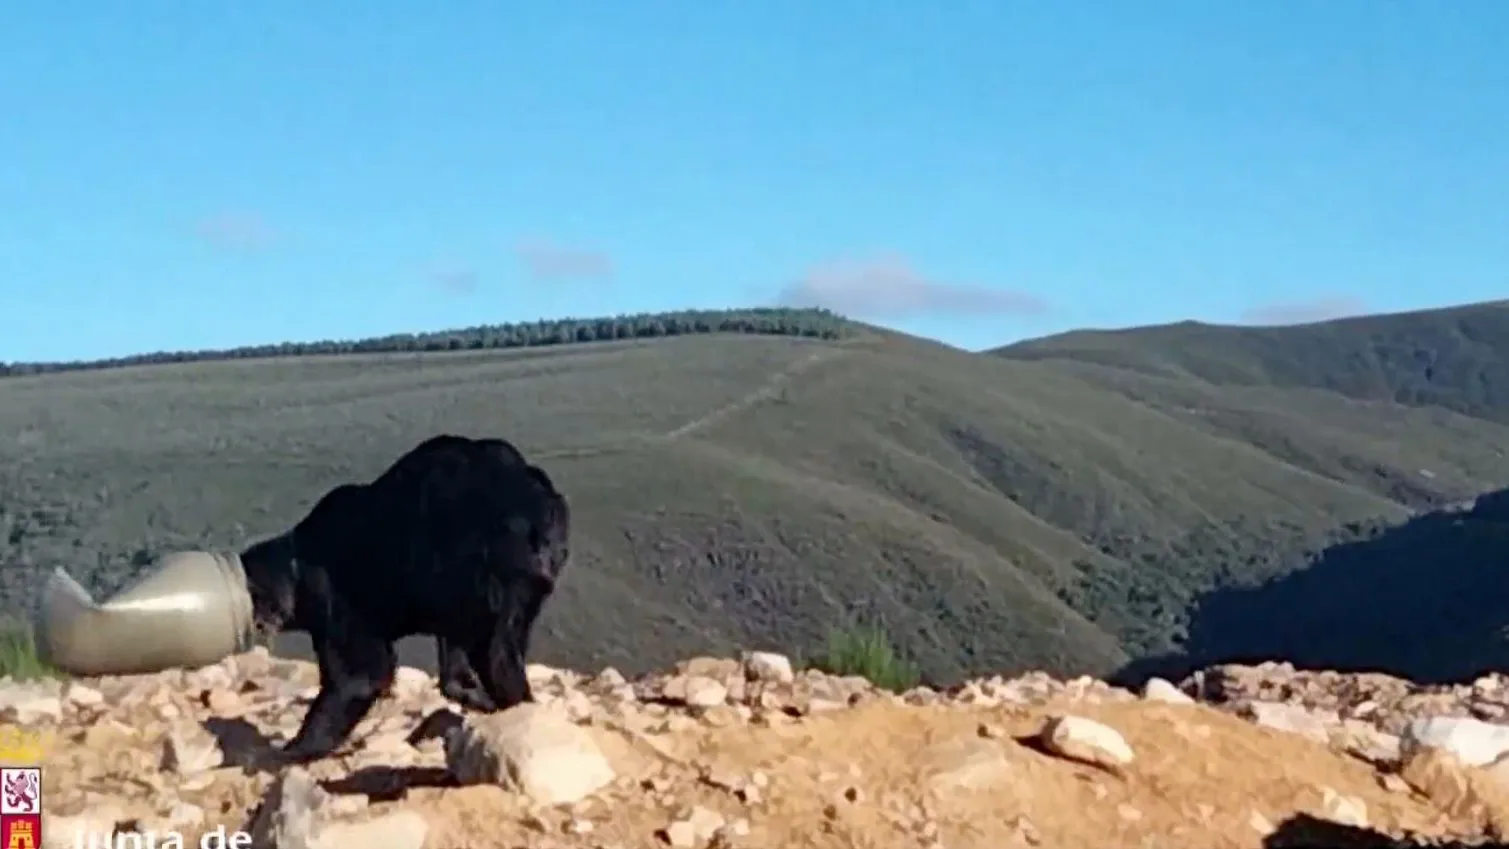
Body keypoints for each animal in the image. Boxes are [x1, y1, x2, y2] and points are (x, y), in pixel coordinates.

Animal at [237, 433, 570, 763]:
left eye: (254, 594)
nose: (257, 621)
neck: (299, 564)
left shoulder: (337, 604)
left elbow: (361, 676)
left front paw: (295, 749)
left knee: (487, 657)